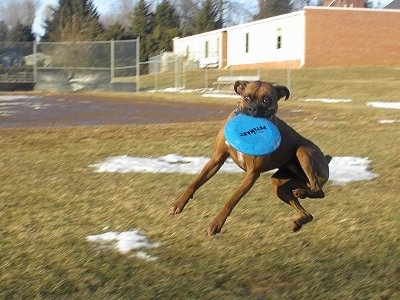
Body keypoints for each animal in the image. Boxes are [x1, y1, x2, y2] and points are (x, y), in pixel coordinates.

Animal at [170, 81, 330, 236]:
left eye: (266, 100)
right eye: (247, 97)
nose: (252, 109)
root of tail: (326, 158)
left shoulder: (252, 173)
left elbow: (232, 199)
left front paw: (216, 224)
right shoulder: (216, 160)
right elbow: (195, 183)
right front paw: (178, 204)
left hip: (303, 152)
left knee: (319, 191)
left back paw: (302, 194)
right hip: (280, 184)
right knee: (309, 211)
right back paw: (298, 219)